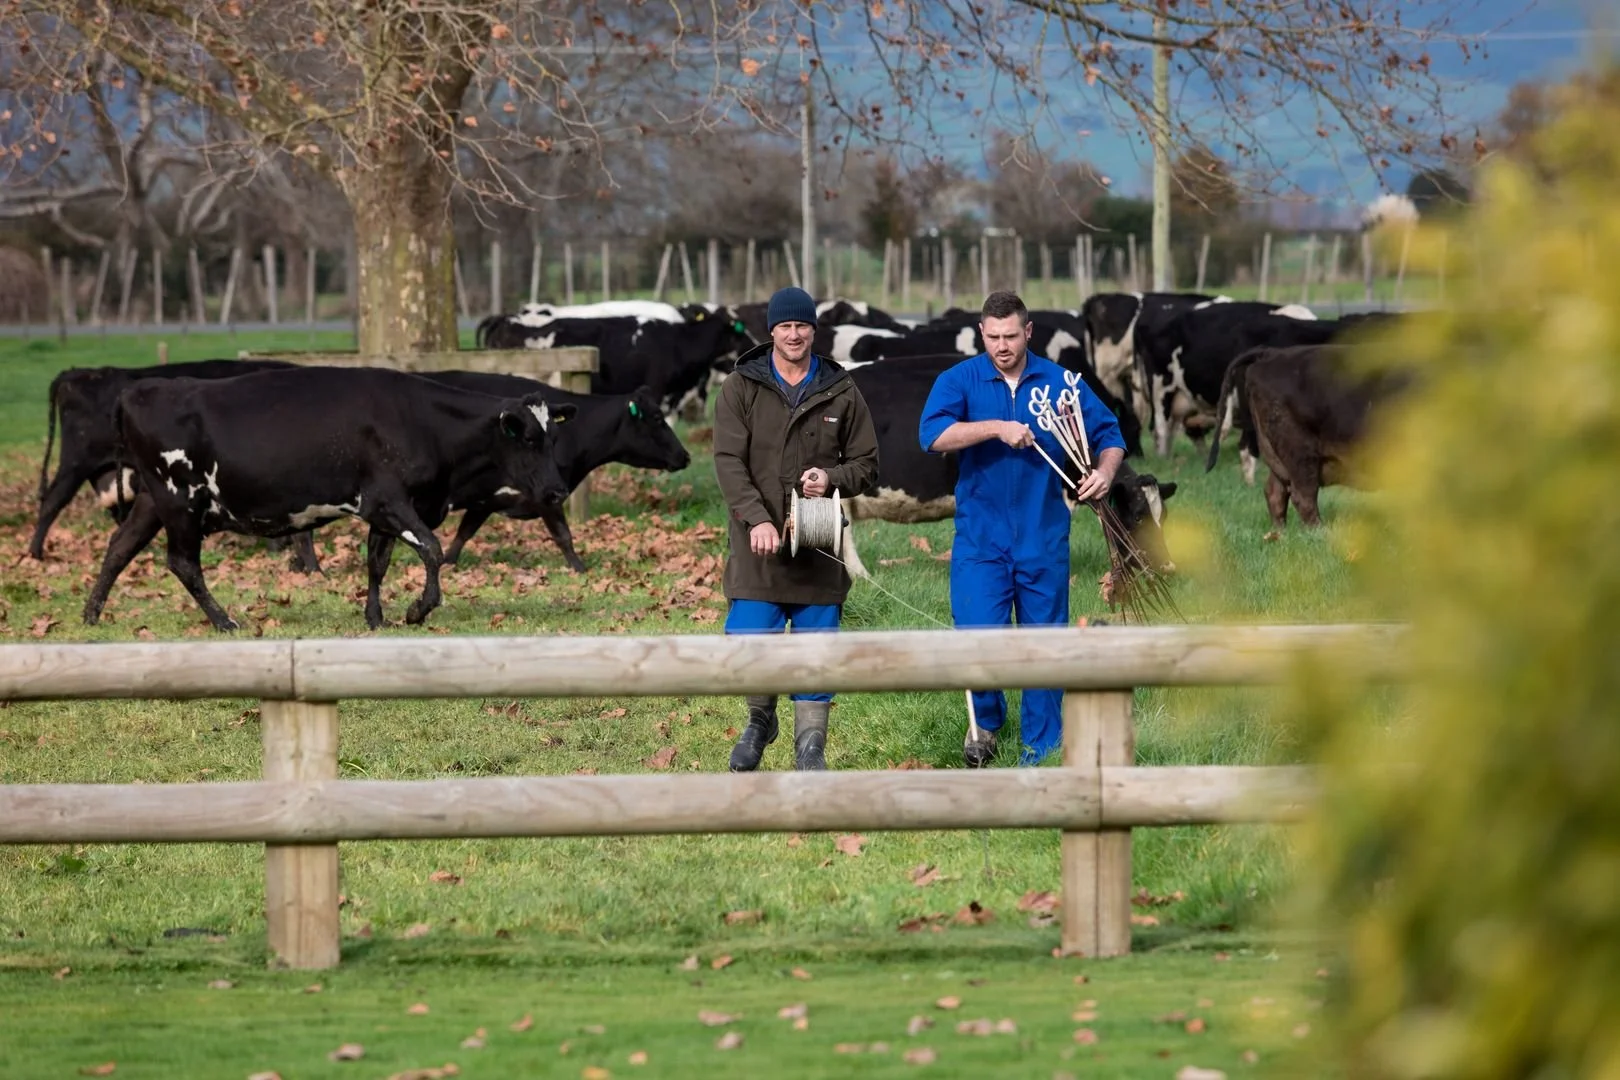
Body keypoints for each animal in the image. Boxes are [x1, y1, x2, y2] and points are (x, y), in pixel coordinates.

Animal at [81, 367, 574, 632]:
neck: (423, 423)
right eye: (529, 438)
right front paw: (417, 609)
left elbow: (377, 563)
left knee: (119, 548)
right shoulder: (388, 501)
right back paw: (225, 621)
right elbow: (432, 549)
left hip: (151, 500)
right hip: (179, 500)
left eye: (553, 438)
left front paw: (375, 617)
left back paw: (91, 614)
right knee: (182, 563)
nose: (557, 490)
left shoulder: (384, 511)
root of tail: (138, 389)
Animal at [1230, 344, 1412, 529]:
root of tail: (1271, 353)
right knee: (1302, 495)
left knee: (1275, 492)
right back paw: (1319, 530)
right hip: (1299, 452)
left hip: (1277, 454)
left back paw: (1280, 531)